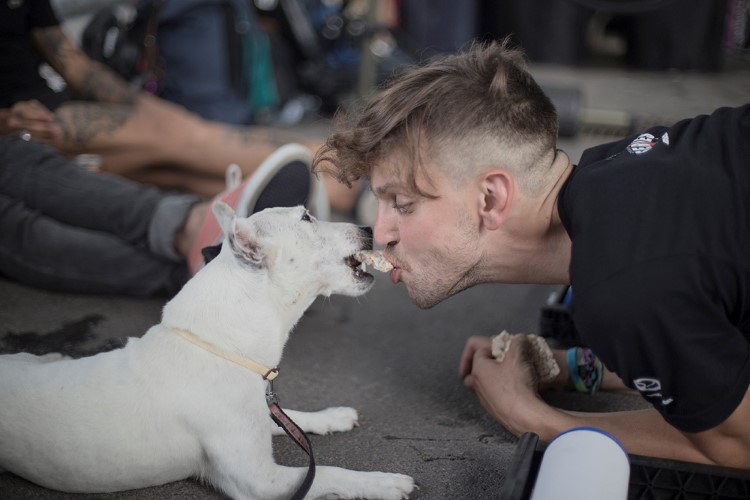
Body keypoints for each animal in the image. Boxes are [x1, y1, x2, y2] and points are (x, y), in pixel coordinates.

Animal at [0, 202, 414, 499]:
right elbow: (328, 472)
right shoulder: (260, 482)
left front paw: (332, 417)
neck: (221, 346)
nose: (369, 229)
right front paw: (383, 483)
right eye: (306, 217)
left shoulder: (257, 420)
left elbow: (292, 417)